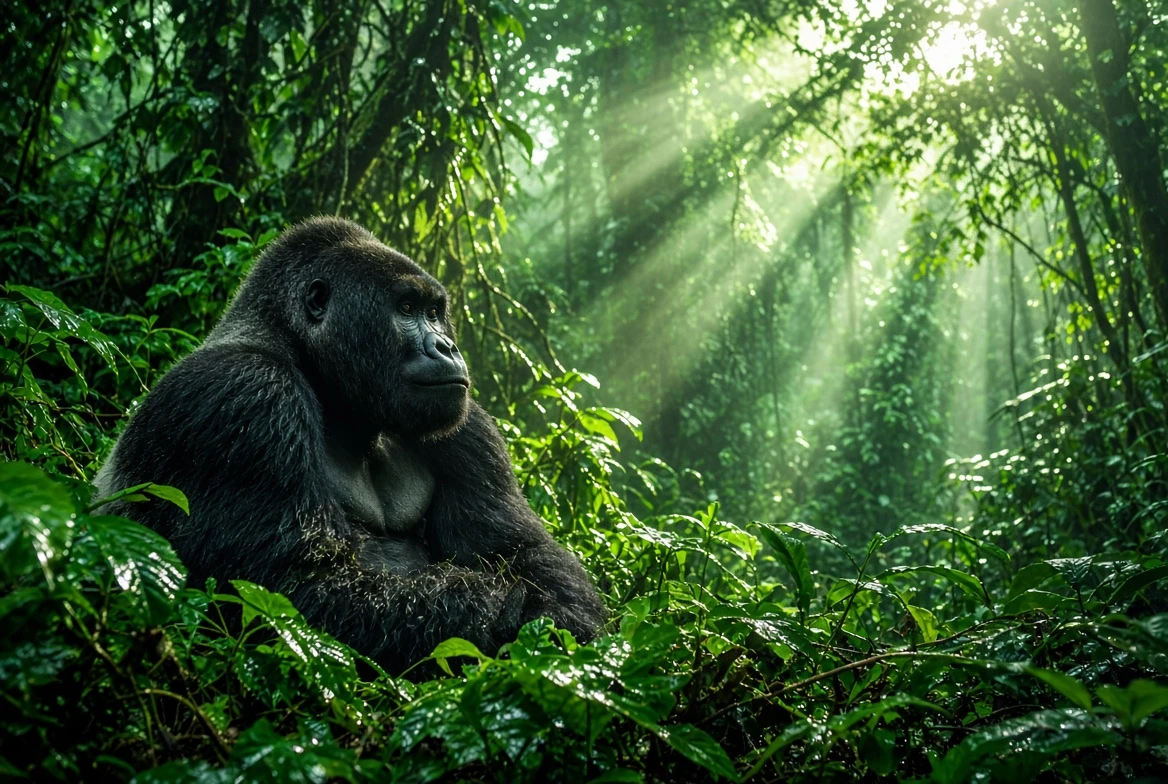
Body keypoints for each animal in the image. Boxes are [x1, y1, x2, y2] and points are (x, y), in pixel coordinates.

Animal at [95, 217, 604, 672]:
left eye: (434, 312)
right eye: (405, 308)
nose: (446, 347)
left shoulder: (467, 424)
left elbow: (521, 551)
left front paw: (557, 617)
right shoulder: (244, 395)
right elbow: (297, 588)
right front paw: (508, 612)